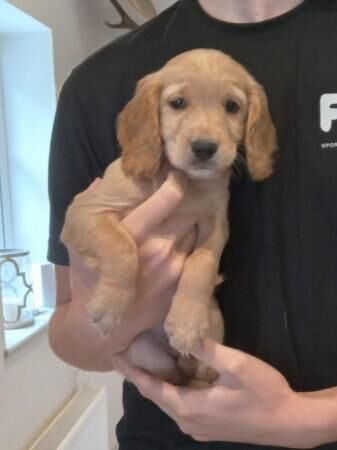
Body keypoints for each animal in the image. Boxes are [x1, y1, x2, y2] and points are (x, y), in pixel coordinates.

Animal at [61, 49, 276, 384]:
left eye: (232, 106)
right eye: (177, 103)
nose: (204, 148)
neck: (186, 182)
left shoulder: (217, 224)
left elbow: (201, 262)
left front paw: (186, 322)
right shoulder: (85, 208)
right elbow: (121, 245)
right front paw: (110, 303)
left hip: (213, 335)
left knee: (198, 377)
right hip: (143, 352)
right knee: (173, 377)